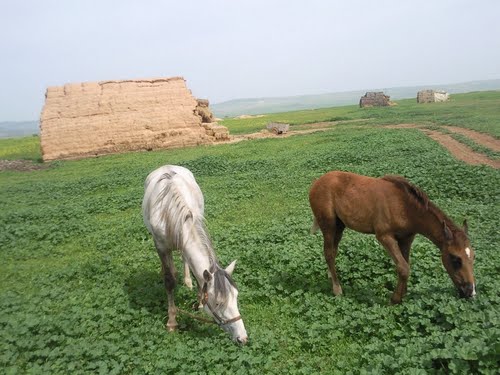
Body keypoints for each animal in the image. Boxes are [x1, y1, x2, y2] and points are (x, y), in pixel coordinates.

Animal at [143, 164, 248, 344]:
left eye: (236, 296)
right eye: (218, 303)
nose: (243, 338)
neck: (168, 210)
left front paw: (199, 302)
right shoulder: (161, 246)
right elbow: (169, 281)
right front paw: (172, 322)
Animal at [308, 172, 476, 304]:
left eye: (473, 257)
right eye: (455, 259)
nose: (471, 292)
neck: (405, 208)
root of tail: (316, 182)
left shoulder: (407, 239)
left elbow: (406, 264)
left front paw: (403, 294)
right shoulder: (385, 236)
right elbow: (403, 267)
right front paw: (395, 299)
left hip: (339, 225)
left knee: (333, 250)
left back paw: (330, 276)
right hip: (328, 224)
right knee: (329, 253)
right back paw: (337, 289)